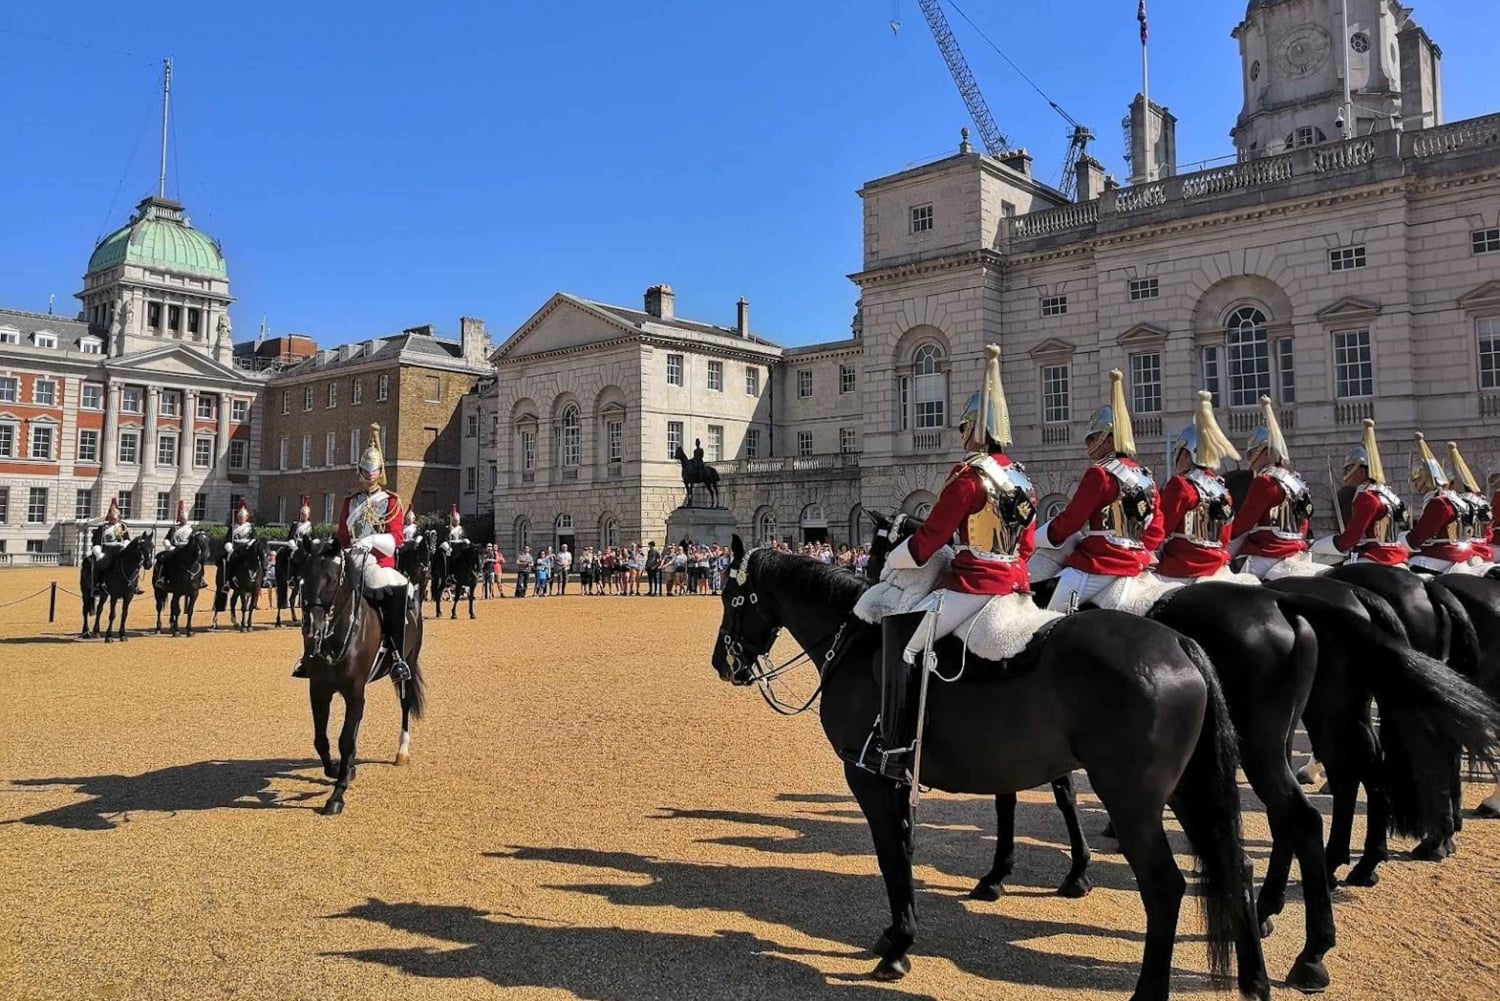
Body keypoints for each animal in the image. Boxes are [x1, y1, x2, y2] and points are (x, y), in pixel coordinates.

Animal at [297, 539, 426, 816]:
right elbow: (321, 739)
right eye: (303, 576)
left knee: (405, 704)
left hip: (408, 663)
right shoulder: (319, 690)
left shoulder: (354, 692)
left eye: (332, 578)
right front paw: (339, 769)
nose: (312, 628)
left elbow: (346, 740)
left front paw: (337, 794)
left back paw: (402, 751)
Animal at [713, 536, 1271, 1000]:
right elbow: (907, 847)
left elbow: (891, 856)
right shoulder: (897, 777)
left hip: (1133, 803)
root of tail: (1178, 642)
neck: (856, 644)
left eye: (731, 597)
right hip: (1187, 791)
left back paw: (1151, 992)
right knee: (1234, 862)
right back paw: (1255, 980)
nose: (723, 663)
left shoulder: (867, 775)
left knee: (1165, 887)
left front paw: (900, 947)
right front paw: (900, 932)